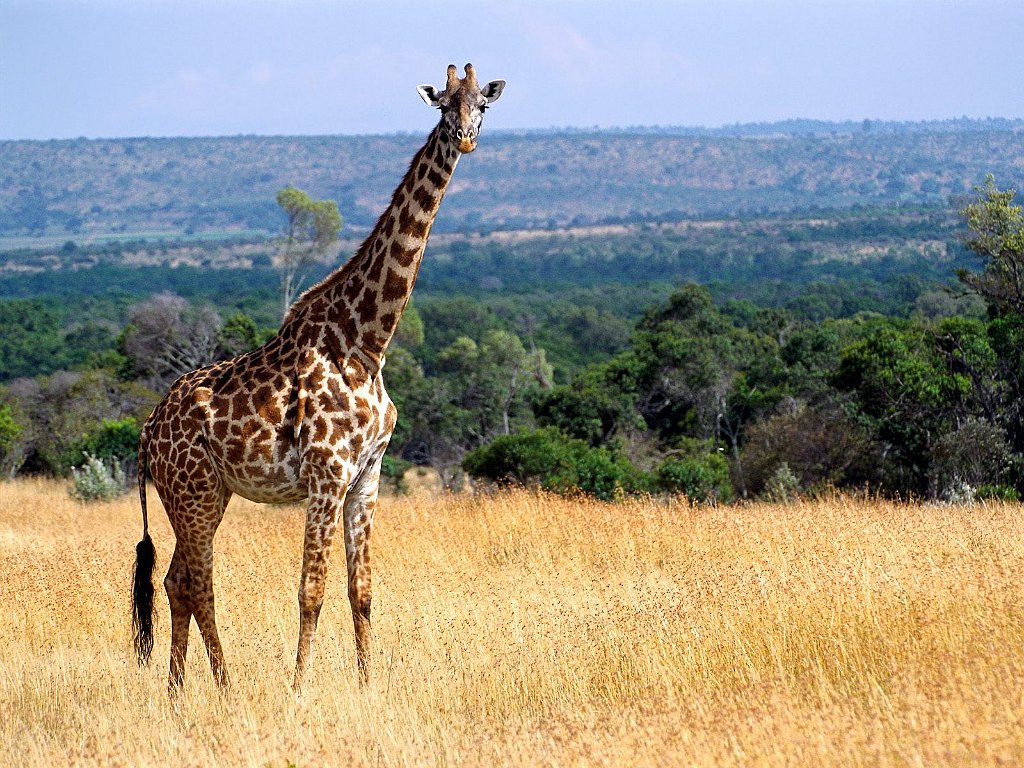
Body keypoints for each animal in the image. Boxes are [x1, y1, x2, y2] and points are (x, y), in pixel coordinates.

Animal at [131, 63, 505, 693]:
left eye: (482, 103)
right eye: (442, 105)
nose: (464, 138)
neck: (368, 342)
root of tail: (147, 430)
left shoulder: (367, 476)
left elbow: (362, 592)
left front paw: (367, 685)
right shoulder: (327, 475)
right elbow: (311, 592)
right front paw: (297, 689)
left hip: (206, 493)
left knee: (176, 581)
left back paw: (180, 691)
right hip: (194, 491)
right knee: (199, 584)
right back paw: (225, 689)